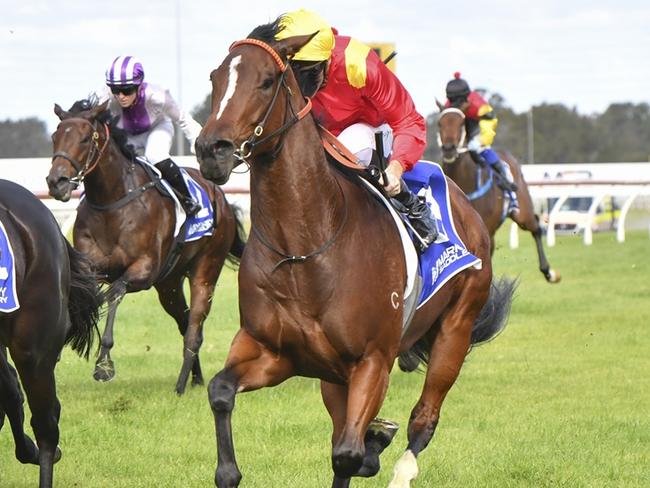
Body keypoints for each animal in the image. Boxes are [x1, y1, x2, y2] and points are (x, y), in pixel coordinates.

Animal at [45, 101, 247, 394]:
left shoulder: (144, 270)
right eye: (55, 136)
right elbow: (86, 295)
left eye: (84, 139)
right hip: (169, 284)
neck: (112, 203)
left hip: (205, 270)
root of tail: (221, 197)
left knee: (194, 329)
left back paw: (181, 385)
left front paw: (103, 365)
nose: (56, 182)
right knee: (185, 322)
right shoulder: (92, 266)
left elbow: (113, 293)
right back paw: (196, 378)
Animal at [192, 25, 512, 488]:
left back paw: (400, 466)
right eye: (215, 79)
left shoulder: (372, 360)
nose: (210, 150)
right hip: (334, 375)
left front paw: (372, 447)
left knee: (423, 419)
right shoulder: (272, 350)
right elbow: (220, 391)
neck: (303, 249)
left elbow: (346, 454)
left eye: (267, 81)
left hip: (456, 327)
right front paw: (229, 470)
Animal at [432, 105, 560, 284]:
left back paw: (548, 271)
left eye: (461, 123)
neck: (466, 181)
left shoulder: (486, 234)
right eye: (439, 123)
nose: (449, 149)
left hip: (522, 213)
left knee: (535, 227)